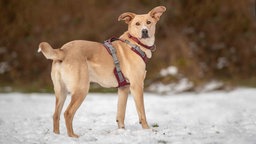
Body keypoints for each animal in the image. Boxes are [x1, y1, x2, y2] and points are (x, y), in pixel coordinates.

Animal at [37, 5, 166, 137]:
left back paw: (56, 135)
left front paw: (122, 131)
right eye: (137, 24)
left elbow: (120, 113)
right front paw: (147, 130)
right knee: (67, 113)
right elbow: (142, 112)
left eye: (149, 22)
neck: (135, 43)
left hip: (60, 92)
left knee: (55, 115)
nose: (144, 31)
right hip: (81, 89)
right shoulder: (137, 85)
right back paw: (73, 136)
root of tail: (63, 50)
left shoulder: (123, 88)